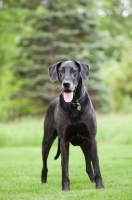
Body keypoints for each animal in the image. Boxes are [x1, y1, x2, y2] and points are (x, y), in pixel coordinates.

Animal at [41, 60, 104, 191]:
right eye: (61, 71)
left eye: (74, 71)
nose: (66, 84)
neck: (75, 104)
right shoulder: (64, 141)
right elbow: (64, 167)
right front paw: (65, 188)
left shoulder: (91, 139)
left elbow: (96, 165)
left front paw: (100, 186)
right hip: (47, 141)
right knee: (44, 164)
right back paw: (43, 182)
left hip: (85, 144)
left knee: (89, 165)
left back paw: (92, 180)